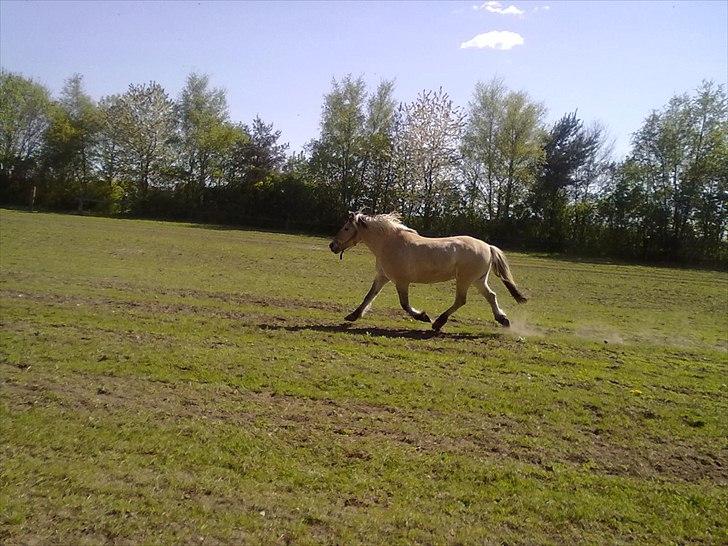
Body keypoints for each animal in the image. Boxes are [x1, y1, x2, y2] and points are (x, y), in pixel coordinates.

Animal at [330, 211, 528, 332]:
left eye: (346, 228)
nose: (332, 245)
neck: (388, 243)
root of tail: (488, 246)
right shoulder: (382, 277)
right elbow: (368, 296)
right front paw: (353, 316)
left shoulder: (401, 281)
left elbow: (405, 304)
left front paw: (423, 316)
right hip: (478, 280)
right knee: (491, 296)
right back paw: (503, 320)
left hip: (465, 280)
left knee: (461, 300)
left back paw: (438, 322)